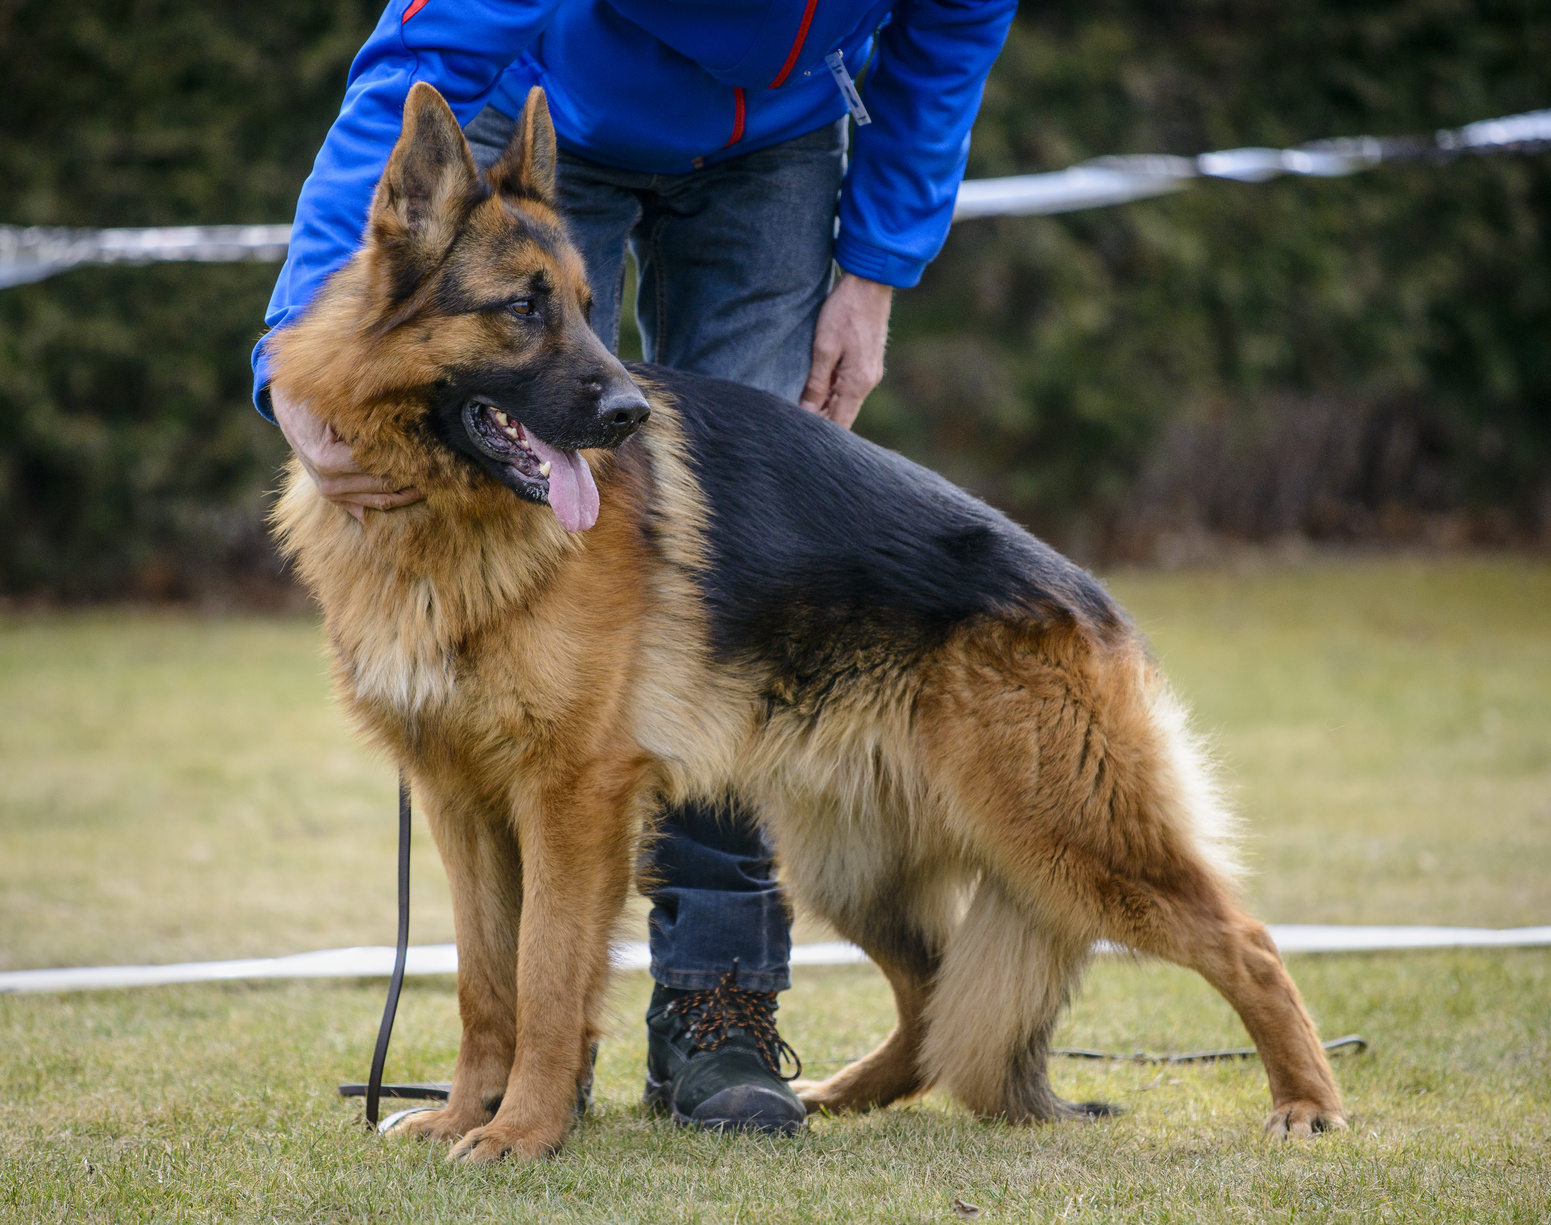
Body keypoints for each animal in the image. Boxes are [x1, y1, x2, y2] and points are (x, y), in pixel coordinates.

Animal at [266, 84, 1346, 1159]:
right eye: (523, 307)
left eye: (585, 306)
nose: (629, 416)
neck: (442, 519)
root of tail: (1093, 604)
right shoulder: (462, 804)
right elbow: (483, 981)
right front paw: (466, 1112)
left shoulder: (569, 798)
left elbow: (543, 975)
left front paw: (520, 1130)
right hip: (856, 864)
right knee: (934, 994)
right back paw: (843, 1090)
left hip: (1069, 837)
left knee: (1245, 941)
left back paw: (1307, 1100)